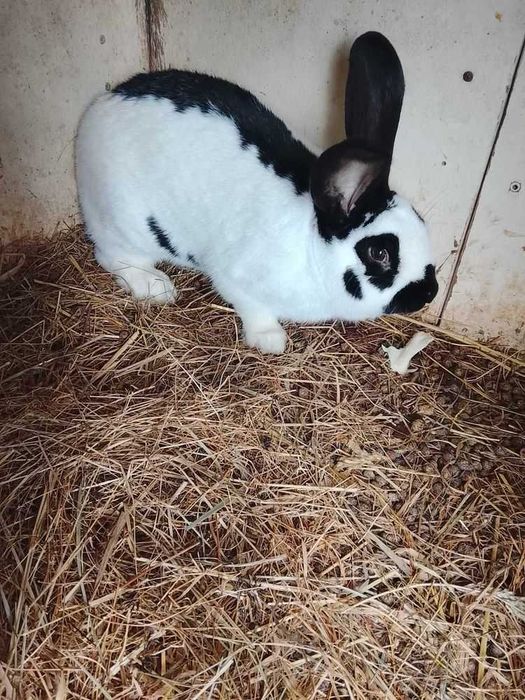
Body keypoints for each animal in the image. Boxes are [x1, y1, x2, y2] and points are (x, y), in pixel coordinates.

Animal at [75, 31, 438, 354]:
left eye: (422, 221)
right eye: (379, 253)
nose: (430, 293)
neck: (309, 247)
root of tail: (98, 108)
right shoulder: (236, 278)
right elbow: (254, 309)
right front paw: (271, 340)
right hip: (124, 225)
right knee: (112, 256)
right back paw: (156, 286)